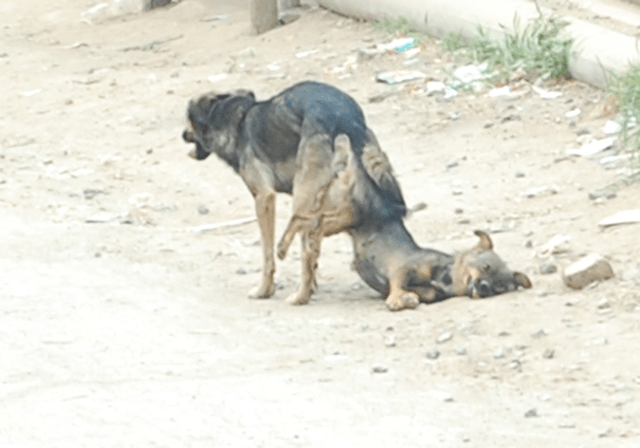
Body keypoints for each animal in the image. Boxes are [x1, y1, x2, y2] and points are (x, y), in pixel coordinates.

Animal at [182, 80, 404, 304]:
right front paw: (313, 284)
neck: (233, 119)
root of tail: (345, 117)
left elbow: (268, 253)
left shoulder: (264, 197)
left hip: (302, 192)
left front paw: (264, 290)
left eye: (188, 117)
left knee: (304, 246)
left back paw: (300, 296)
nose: (182, 134)